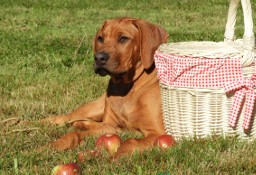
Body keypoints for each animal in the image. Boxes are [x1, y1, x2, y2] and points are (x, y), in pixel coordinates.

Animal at [42, 17, 172, 157]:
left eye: (123, 38)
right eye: (100, 38)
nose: (99, 58)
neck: (127, 87)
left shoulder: (157, 133)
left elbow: (131, 141)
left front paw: (116, 157)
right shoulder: (111, 127)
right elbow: (73, 135)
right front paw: (48, 148)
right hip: (95, 108)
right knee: (62, 118)